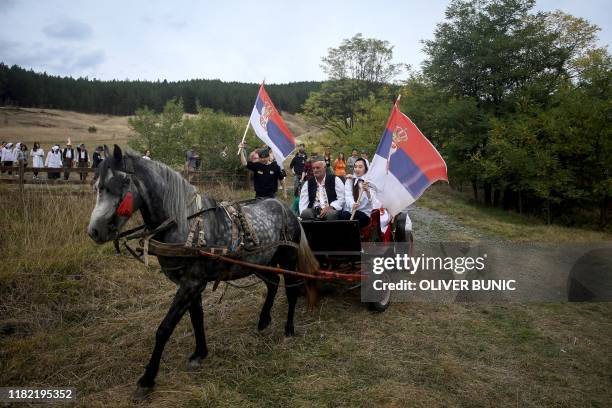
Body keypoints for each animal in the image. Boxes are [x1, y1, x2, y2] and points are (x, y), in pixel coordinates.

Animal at [88, 146, 318, 398]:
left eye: (121, 182)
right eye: (97, 185)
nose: (94, 231)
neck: (183, 223)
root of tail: (287, 210)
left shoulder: (191, 283)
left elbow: (165, 328)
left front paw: (147, 379)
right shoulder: (191, 284)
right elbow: (197, 318)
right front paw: (200, 353)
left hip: (287, 259)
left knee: (291, 291)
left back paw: (288, 329)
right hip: (259, 262)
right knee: (273, 283)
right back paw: (263, 320)